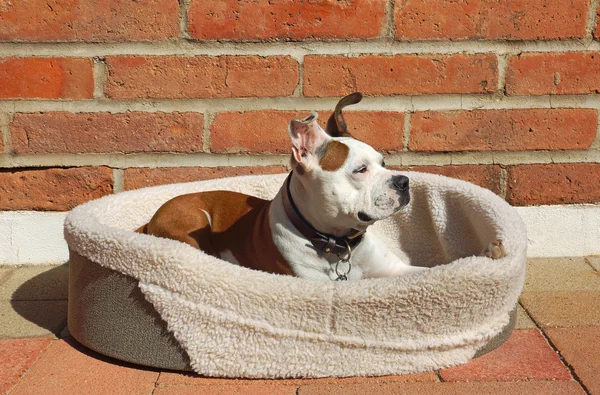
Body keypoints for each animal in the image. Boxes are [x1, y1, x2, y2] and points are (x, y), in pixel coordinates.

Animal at [137, 93, 506, 282]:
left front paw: (486, 254)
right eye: (360, 170)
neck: (340, 244)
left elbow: (436, 270)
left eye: (384, 162)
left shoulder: (398, 270)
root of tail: (150, 219)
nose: (403, 182)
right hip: (191, 223)